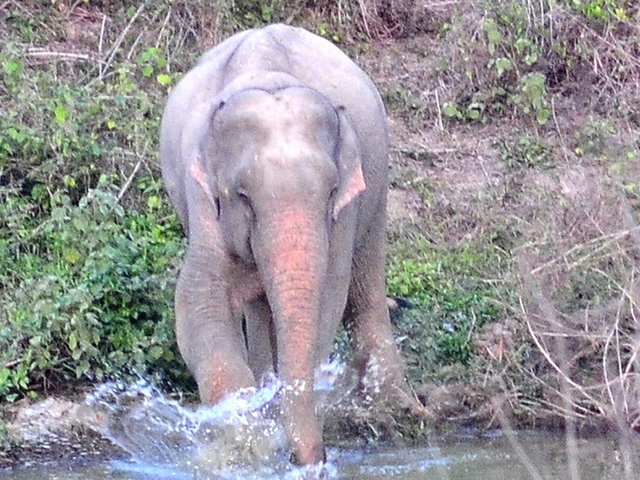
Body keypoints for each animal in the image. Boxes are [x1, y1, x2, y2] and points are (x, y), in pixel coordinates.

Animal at [160, 23, 420, 464]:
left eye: (331, 190)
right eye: (242, 196)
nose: (315, 459)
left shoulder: (344, 207)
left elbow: (328, 297)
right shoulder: (202, 198)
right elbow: (199, 302)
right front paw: (245, 433)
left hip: (378, 184)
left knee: (365, 283)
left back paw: (399, 406)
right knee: (256, 307)